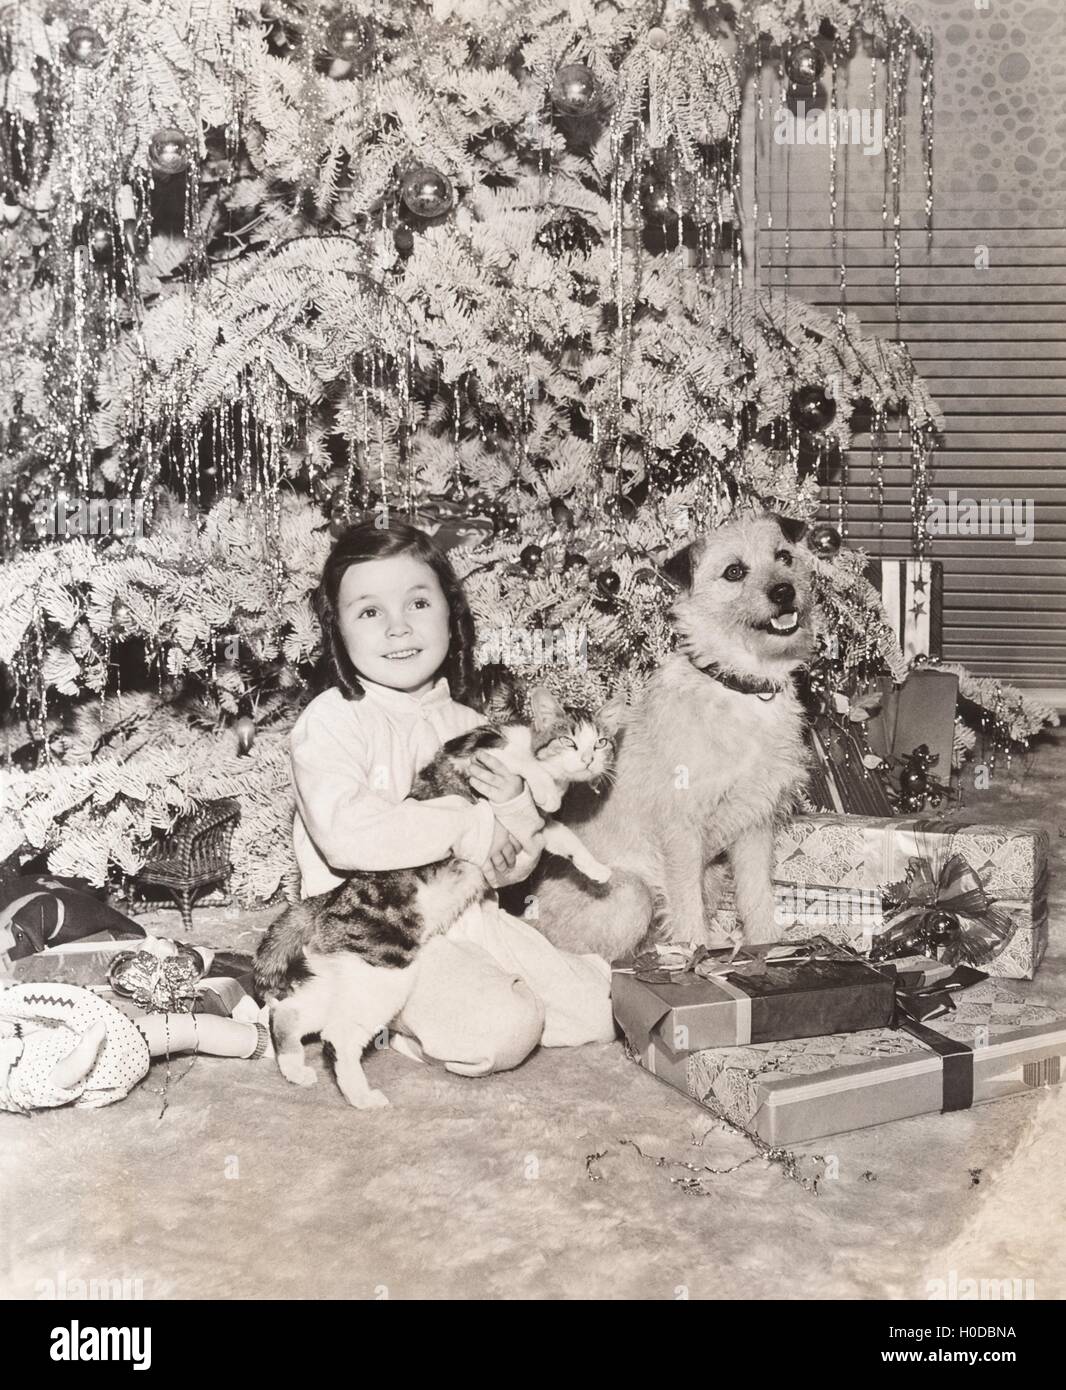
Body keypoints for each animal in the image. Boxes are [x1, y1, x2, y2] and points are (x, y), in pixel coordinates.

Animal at [528, 514, 811, 967]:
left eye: (784, 556)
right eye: (734, 572)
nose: (784, 591)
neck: (740, 686)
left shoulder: (755, 826)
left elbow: (757, 897)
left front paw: (767, 945)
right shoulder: (682, 831)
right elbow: (685, 905)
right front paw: (694, 958)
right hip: (633, 893)